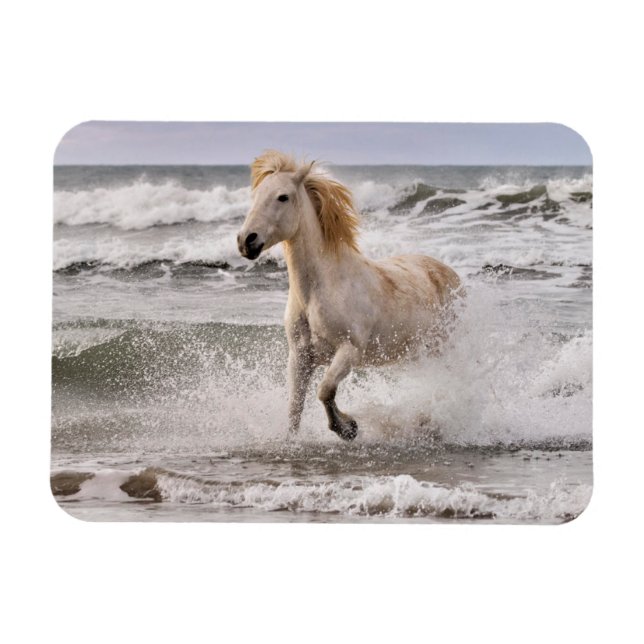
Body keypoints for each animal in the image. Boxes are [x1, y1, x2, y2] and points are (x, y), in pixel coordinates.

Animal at [237, 150, 462, 441]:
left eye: (282, 197)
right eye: (255, 195)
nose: (246, 241)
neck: (318, 291)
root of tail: (448, 273)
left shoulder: (349, 351)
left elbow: (325, 390)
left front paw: (348, 428)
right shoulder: (299, 357)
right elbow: (295, 406)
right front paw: (295, 440)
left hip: (444, 347)